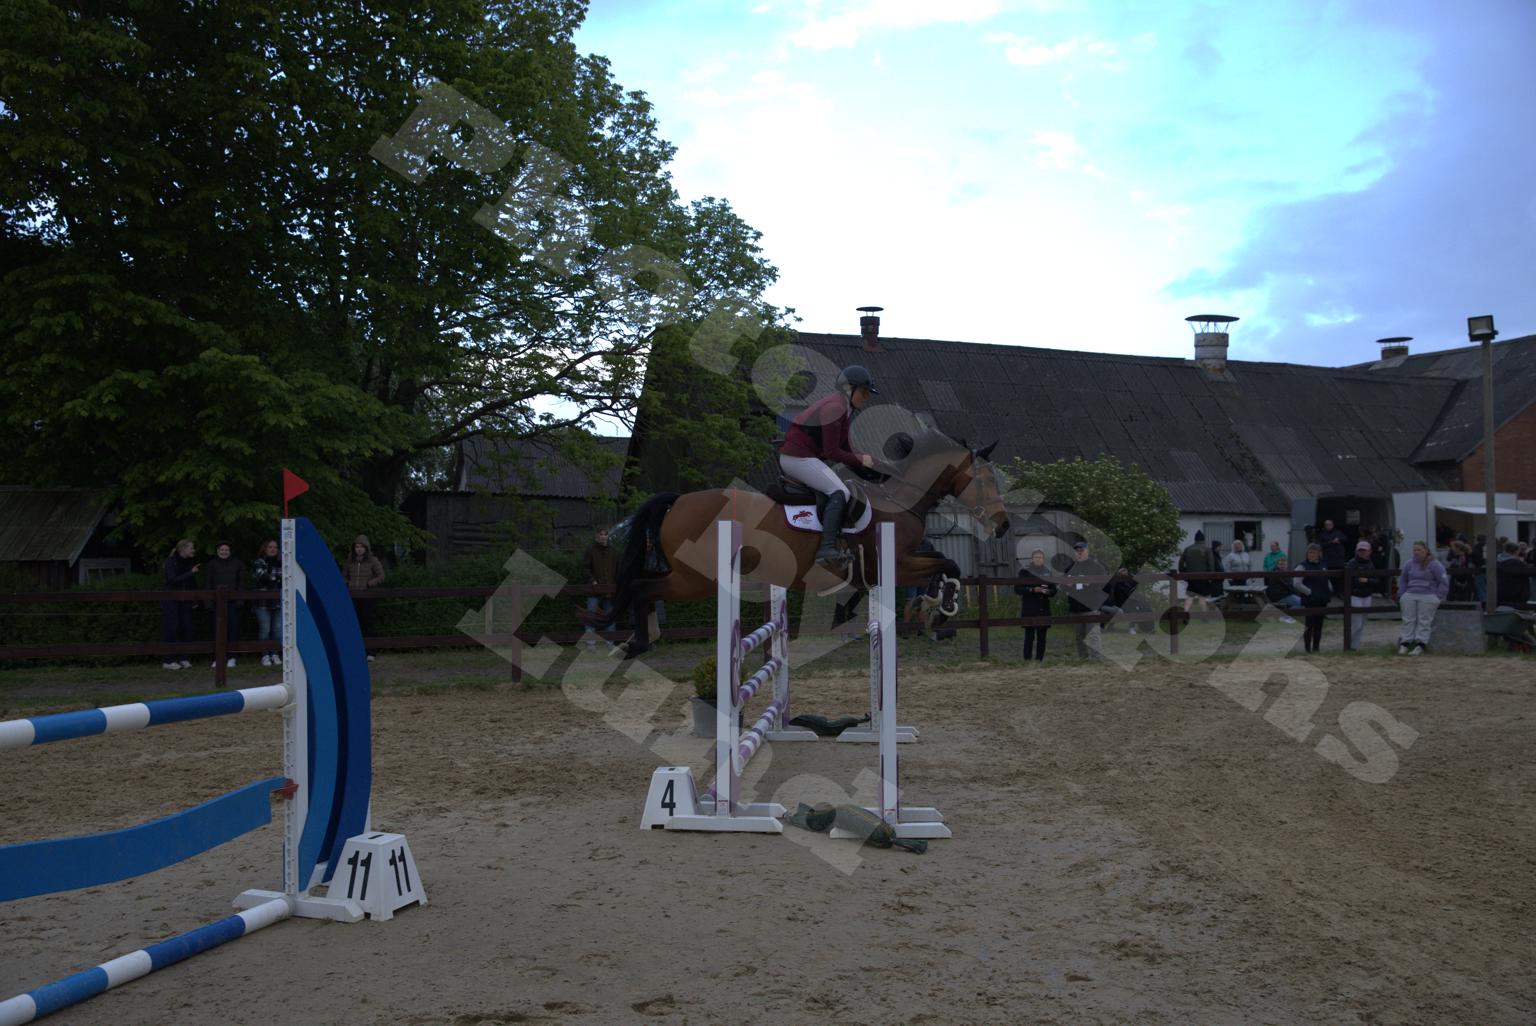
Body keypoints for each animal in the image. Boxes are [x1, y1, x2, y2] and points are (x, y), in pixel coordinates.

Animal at [599, 427, 1010, 657]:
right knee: (642, 588)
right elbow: (947, 563)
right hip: (696, 579)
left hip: (688, 575)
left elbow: (943, 561)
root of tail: (678, 501)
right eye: (987, 480)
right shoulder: (895, 564)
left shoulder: (895, 563)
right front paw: (939, 608)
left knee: (641, 588)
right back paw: (637, 642)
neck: (900, 499)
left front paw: (931, 605)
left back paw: (637, 639)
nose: (1003, 525)